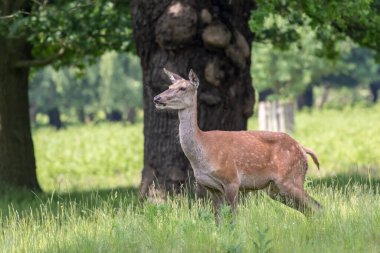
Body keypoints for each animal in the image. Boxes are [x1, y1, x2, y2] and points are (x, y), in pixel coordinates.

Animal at [153, 68, 322, 218]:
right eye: (169, 87)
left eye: (182, 88)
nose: (157, 99)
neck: (204, 149)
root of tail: (302, 149)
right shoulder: (210, 187)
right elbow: (218, 219)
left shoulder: (232, 180)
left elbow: (233, 218)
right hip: (275, 188)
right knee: (310, 209)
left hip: (290, 178)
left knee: (317, 206)